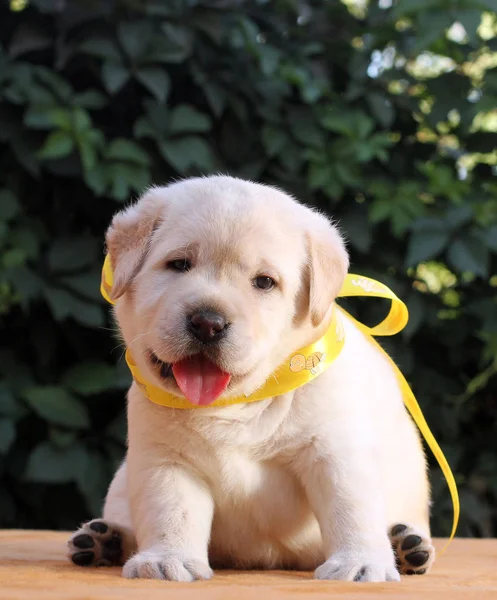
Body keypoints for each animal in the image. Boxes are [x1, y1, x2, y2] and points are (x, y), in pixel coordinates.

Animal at [67, 175, 434, 580]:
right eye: (178, 264)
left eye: (264, 282)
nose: (207, 323)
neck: (238, 404)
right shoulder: (168, 461)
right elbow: (171, 512)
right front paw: (166, 559)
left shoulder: (335, 452)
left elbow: (351, 511)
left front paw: (361, 563)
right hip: (122, 480)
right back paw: (102, 539)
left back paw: (407, 546)